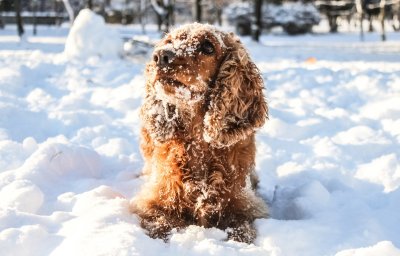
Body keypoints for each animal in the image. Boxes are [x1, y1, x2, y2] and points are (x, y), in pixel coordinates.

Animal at [132, 23, 268, 243]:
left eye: (208, 46)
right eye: (169, 41)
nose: (160, 56)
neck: (199, 144)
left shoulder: (245, 205)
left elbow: (241, 229)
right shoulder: (154, 200)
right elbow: (161, 223)